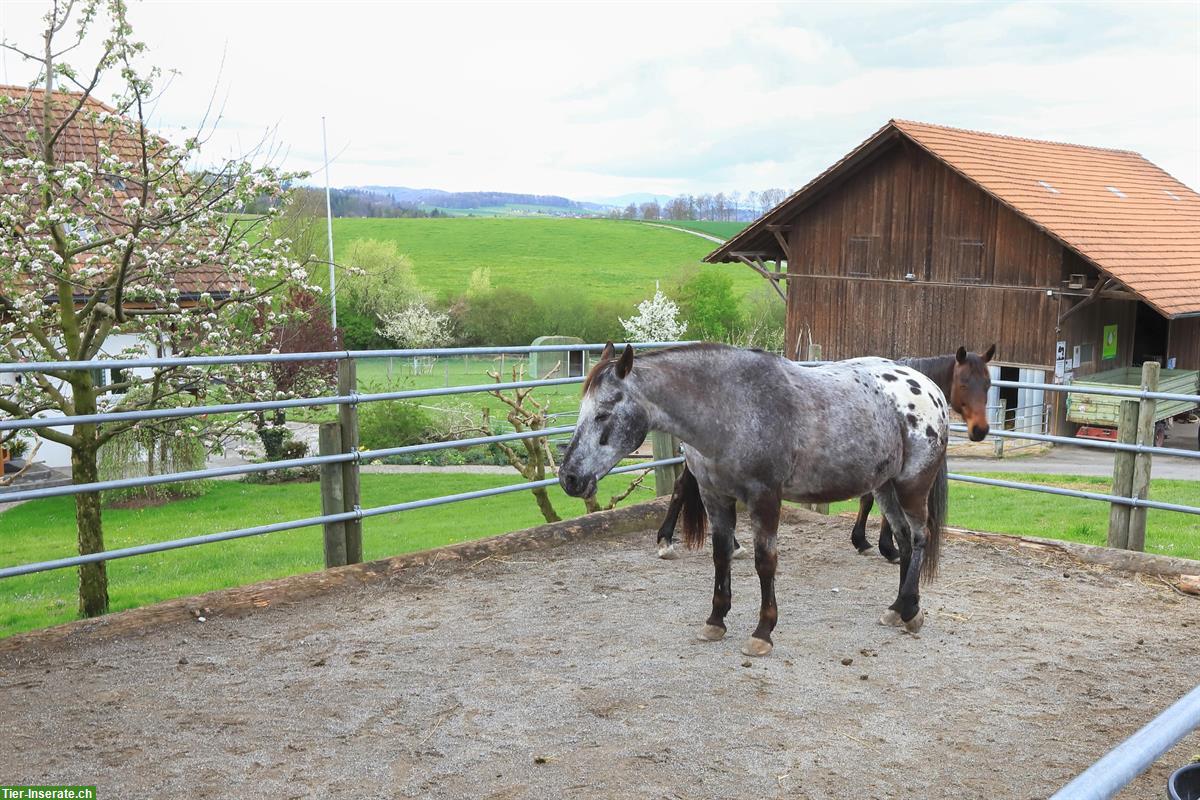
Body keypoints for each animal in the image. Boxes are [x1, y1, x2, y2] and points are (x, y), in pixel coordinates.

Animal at [559, 345, 945, 657]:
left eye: (604, 413)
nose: (569, 478)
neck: (732, 409)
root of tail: (928, 387)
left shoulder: (765, 498)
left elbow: (765, 563)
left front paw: (763, 632)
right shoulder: (715, 497)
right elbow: (721, 556)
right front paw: (715, 621)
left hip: (911, 486)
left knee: (920, 537)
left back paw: (909, 612)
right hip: (885, 488)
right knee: (904, 540)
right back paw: (900, 608)